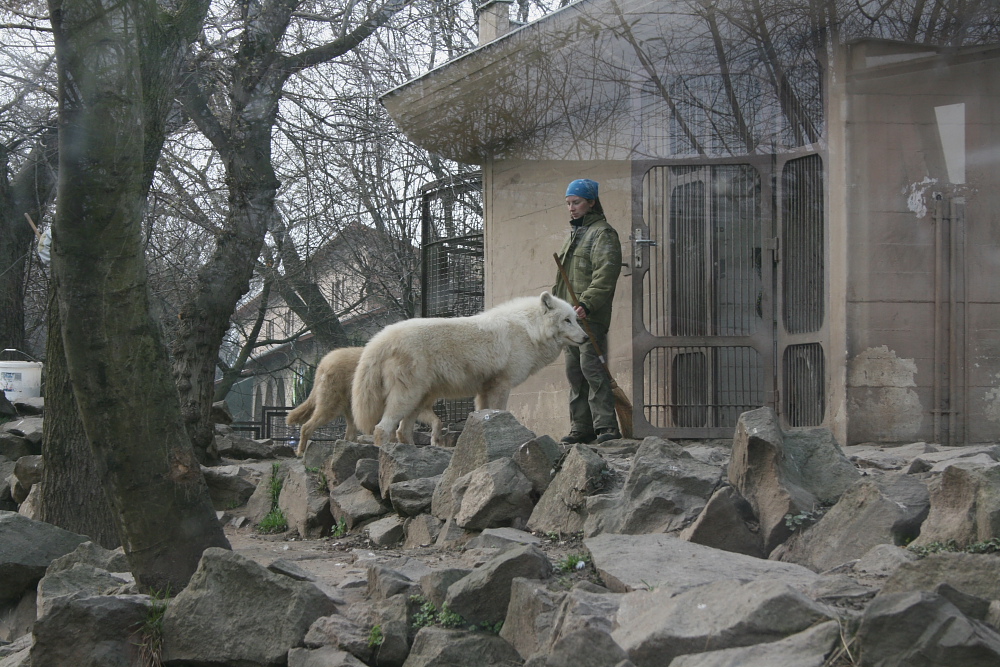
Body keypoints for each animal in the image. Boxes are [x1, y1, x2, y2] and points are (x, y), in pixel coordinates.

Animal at [352, 294, 584, 446]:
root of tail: (381, 338)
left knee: (402, 431)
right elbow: (500, 411)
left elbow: (484, 413)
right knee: (382, 429)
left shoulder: (484, 390)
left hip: (419, 398)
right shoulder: (502, 384)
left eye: (576, 319)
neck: (529, 330)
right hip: (408, 396)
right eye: (567, 320)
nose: (585, 337)